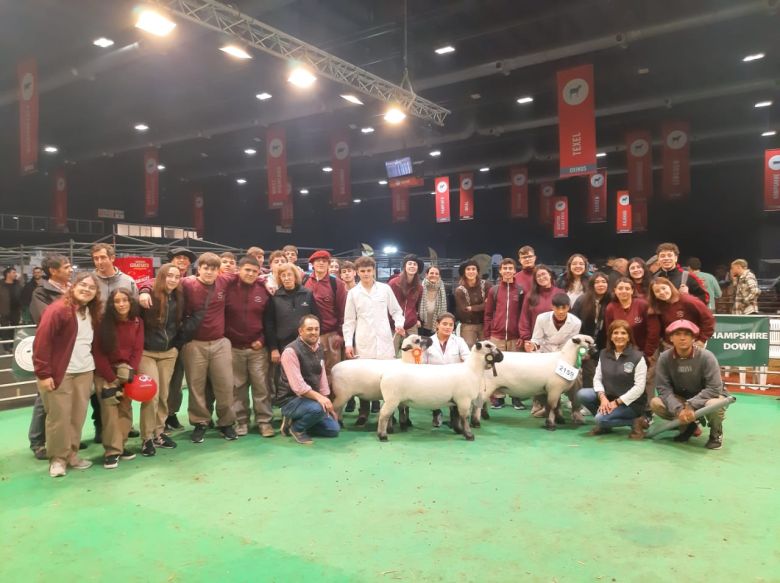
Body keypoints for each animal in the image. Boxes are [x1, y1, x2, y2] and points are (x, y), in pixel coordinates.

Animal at [378, 342, 506, 442]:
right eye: (488, 345)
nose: (502, 356)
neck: (472, 370)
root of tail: (384, 375)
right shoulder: (464, 400)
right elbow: (464, 417)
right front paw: (469, 435)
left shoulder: (456, 401)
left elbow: (456, 416)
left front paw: (459, 430)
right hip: (392, 399)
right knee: (384, 415)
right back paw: (382, 436)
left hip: (390, 399)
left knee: (387, 414)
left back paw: (389, 430)